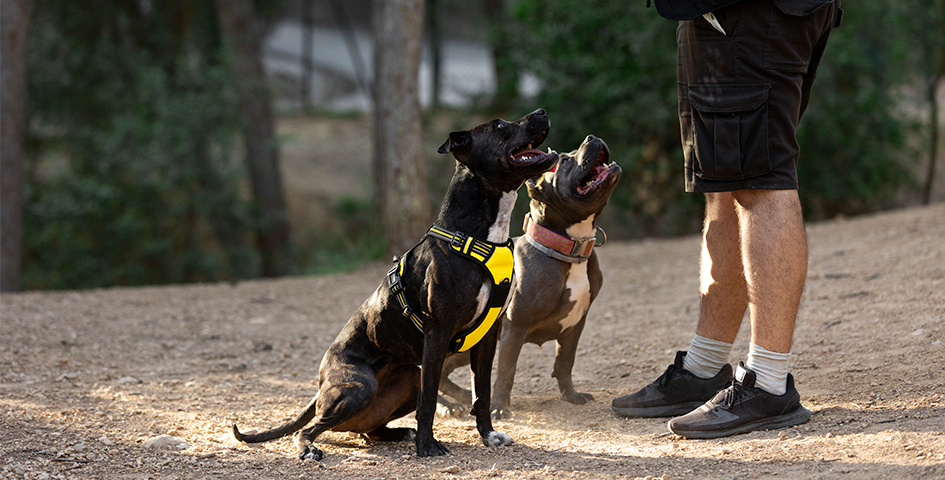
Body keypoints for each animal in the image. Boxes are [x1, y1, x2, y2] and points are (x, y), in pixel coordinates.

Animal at [232, 109, 556, 462]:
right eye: (499, 126)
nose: (541, 112)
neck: (477, 237)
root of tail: (321, 384)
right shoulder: (437, 333)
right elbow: (430, 400)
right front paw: (427, 446)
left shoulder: (487, 337)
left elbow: (481, 392)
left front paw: (488, 435)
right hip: (358, 388)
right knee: (310, 428)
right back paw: (311, 448)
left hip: (407, 376)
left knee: (370, 431)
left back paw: (399, 433)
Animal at [440, 136, 624, 420]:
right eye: (566, 160)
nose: (592, 137)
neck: (567, 249)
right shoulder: (515, 326)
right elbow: (506, 371)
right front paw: (499, 408)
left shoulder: (575, 325)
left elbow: (565, 362)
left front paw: (570, 396)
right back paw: (448, 406)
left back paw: (463, 396)